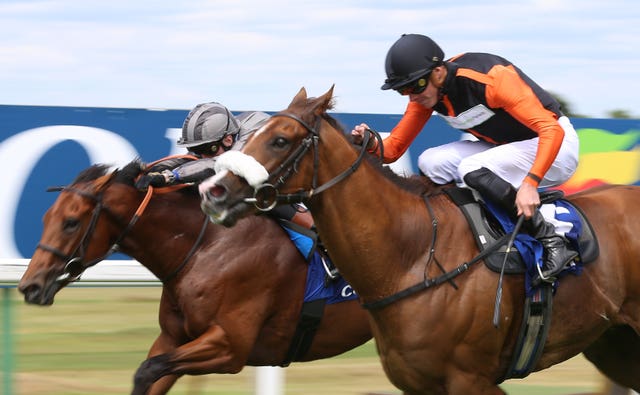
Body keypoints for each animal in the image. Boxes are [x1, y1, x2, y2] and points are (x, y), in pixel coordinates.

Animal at [16, 159, 370, 395]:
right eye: (47, 218)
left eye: (71, 222)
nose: (29, 286)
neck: (205, 248)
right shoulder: (173, 338)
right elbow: (149, 373)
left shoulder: (230, 346)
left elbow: (147, 371)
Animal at [199, 87, 640, 395]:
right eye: (249, 136)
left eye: (280, 139)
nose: (213, 191)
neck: (409, 255)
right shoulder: (418, 383)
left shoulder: (472, 380)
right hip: (614, 344)